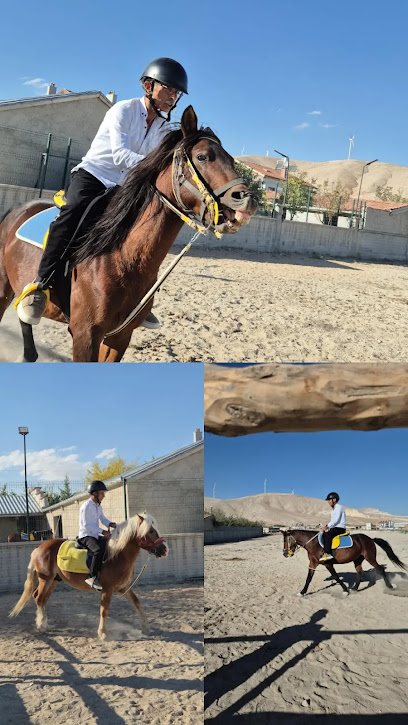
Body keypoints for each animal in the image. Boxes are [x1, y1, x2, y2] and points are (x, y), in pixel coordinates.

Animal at [0, 105, 258, 362]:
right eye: (202, 156)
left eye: (231, 159)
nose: (248, 199)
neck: (121, 258)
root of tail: (16, 210)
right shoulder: (85, 335)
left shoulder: (119, 337)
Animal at [9, 511, 168, 640]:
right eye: (150, 531)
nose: (164, 550)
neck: (117, 555)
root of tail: (38, 549)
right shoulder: (107, 589)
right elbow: (104, 610)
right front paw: (103, 633)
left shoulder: (123, 587)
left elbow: (136, 602)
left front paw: (145, 627)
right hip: (45, 579)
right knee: (39, 597)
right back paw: (41, 625)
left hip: (53, 581)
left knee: (41, 598)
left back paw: (43, 622)